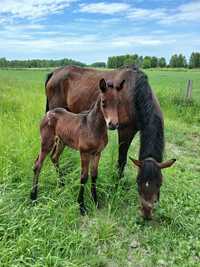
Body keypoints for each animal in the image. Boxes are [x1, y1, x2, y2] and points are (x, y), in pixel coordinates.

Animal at [30, 78, 124, 216]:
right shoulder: (84, 152)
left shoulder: (97, 153)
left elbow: (94, 175)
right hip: (47, 142)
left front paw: (96, 201)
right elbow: (84, 177)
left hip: (61, 142)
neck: (93, 127)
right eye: (103, 102)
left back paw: (62, 184)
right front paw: (81, 206)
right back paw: (33, 197)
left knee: (54, 157)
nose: (113, 124)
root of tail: (48, 113)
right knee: (38, 165)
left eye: (118, 102)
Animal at [45, 66, 175, 219]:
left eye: (160, 183)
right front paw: (116, 186)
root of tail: (54, 72)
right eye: (138, 181)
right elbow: (121, 161)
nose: (146, 213)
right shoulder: (125, 130)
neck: (136, 93)